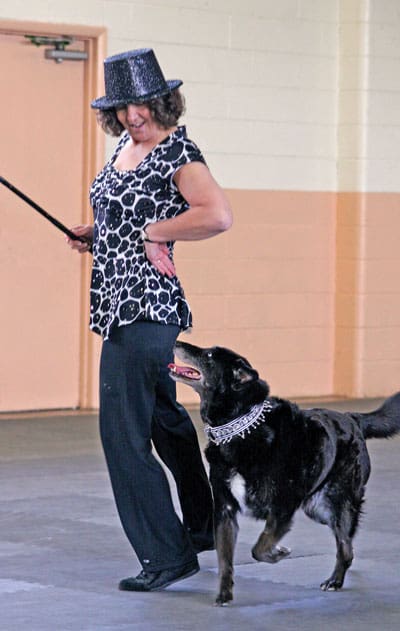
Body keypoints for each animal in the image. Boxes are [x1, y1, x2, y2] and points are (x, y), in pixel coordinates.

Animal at [169, 344, 400, 604]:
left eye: (208, 355)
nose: (177, 342)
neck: (240, 428)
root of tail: (353, 418)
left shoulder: (282, 507)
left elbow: (259, 547)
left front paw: (278, 553)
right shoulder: (225, 511)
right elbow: (225, 560)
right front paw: (224, 594)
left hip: (336, 506)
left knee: (344, 545)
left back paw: (334, 581)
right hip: (317, 508)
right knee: (347, 544)